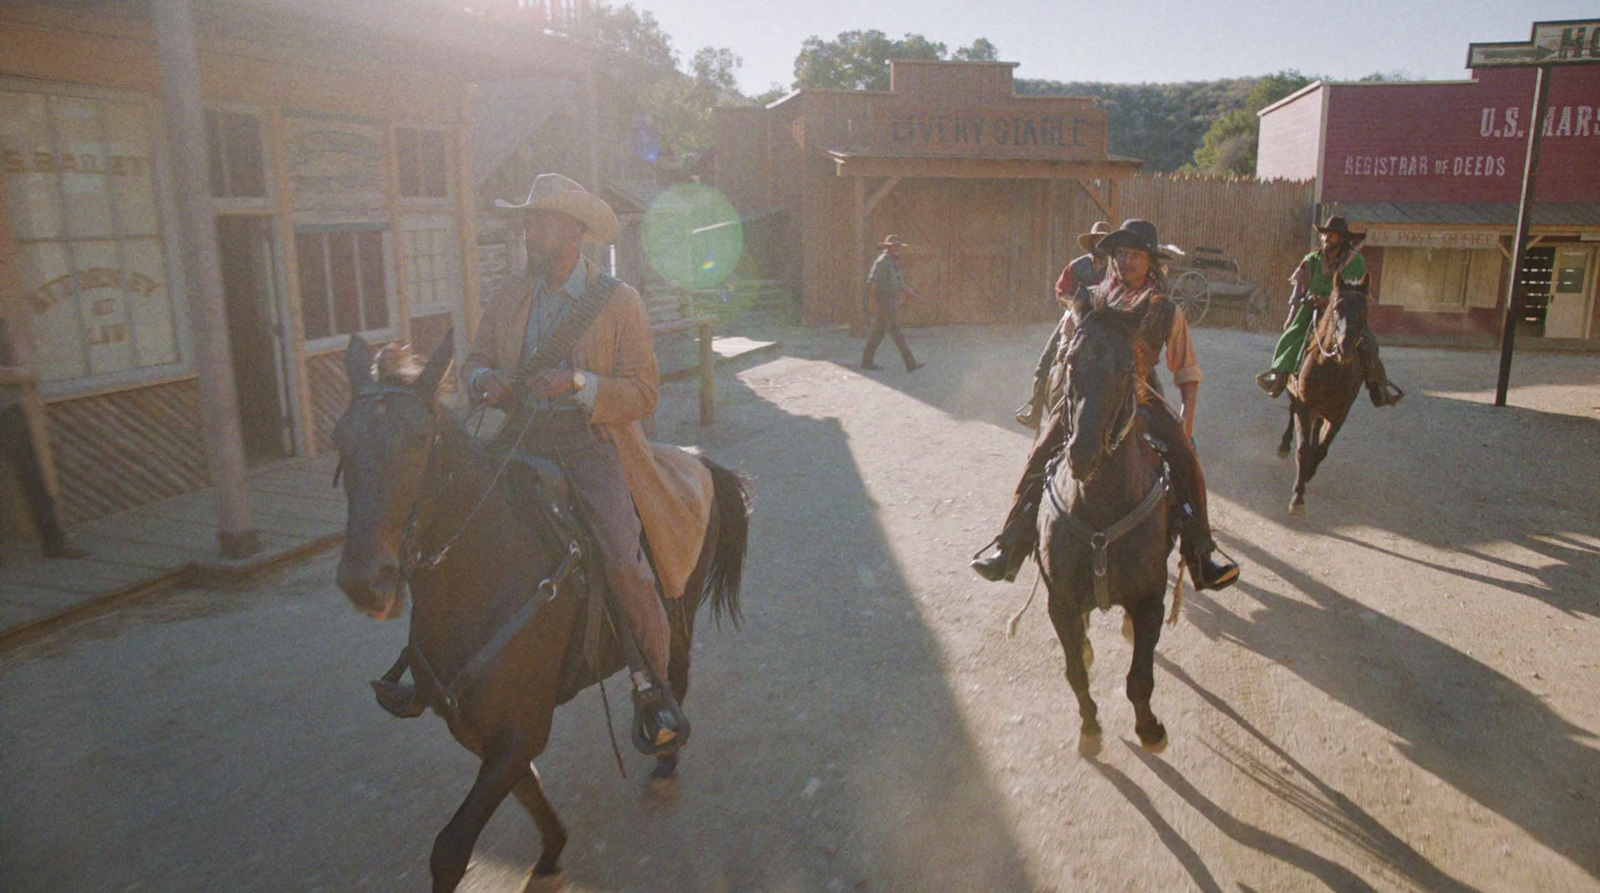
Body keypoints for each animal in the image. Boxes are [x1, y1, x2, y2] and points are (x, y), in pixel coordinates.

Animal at [329, 334, 748, 893]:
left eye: (420, 438)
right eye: (341, 439)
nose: (364, 582)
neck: (484, 580)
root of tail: (698, 461)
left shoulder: (520, 727)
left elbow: (451, 848)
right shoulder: (482, 731)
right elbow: (529, 791)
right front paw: (552, 850)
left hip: (678, 616)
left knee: (672, 676)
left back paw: (664, 755)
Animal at [1036, 304, 1177, 758]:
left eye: (1127, 365)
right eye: (1070, 361)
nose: (1082, 453)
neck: (1099, 510)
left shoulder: (1150, 602)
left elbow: (1141, 678)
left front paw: (1149, 730)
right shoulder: (1060, 603)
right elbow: (1075, 672)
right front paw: (1090, 728)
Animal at [1273, 276, 1376, 515]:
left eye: (1364, 310)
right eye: (1337, 307)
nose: (1345, 348)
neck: (1331, 369)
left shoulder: (1340, 414)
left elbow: (1322, 449)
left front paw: (1309, 472)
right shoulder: (1304, 405)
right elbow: (1302, 449)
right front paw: (1298, 495)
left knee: (1317, 427)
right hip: (1296, 397)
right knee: (1292, 414)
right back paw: (1284, 445)